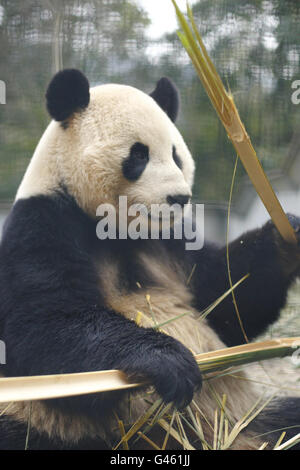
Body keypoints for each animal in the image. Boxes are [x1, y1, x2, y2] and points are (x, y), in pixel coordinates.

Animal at [0, 68, 298, 450]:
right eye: (138, 155)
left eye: (176, 156)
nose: (179, 198)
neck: (116, 231)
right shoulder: (44, 224)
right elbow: (43, 325)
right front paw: (169, 362)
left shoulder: (171, 242)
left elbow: (226, 300)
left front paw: (285, 234)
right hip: (51, 424)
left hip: (247, 420)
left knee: (285, 420)